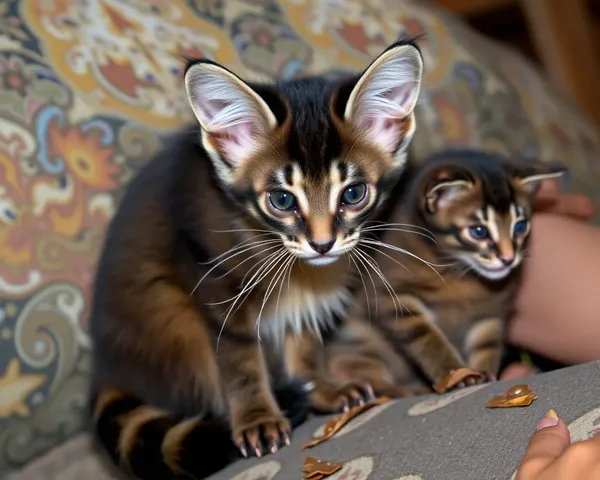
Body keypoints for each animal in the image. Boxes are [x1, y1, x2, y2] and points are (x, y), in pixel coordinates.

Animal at [90, 38, 426, 480]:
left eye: (354, 194)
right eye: (282, 200)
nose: (322, 244)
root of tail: (106, 366)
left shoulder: (311, 293)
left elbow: (303, 334)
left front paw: (319, 386)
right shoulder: (213, 281)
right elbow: (240, 359)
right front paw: (257, 419)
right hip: (170, 319)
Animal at [324, 151, 564, 398]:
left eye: (520, 227)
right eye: (479, 231)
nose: (508, 258)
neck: (459, 273)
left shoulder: (491, 312)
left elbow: (487, 345)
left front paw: (486, 373)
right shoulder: (394, 298)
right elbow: (430, 341)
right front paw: (457, 374)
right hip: (361, 336)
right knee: (354, 366)